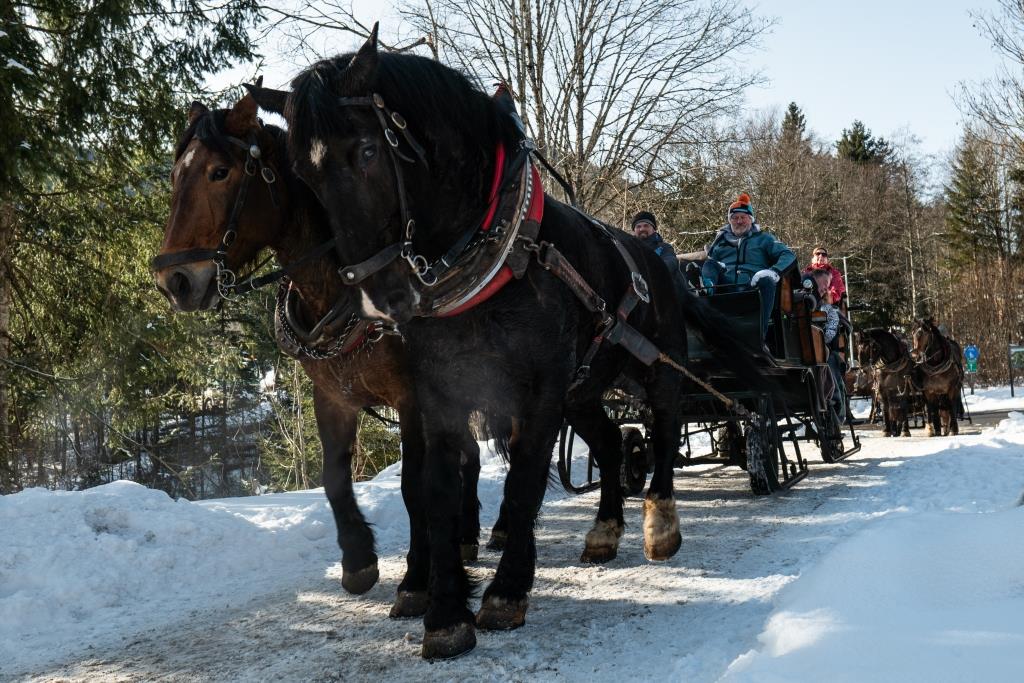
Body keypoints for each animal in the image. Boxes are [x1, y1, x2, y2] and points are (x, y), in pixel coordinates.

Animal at [151, 94, 487, 602]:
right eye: (175, 175)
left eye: (219, 172)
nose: (174, 280)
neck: (342, 291)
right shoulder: (331, 396)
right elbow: (333, 480)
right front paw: (358, 559)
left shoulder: (410, 398)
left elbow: (413, 483)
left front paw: (416, 576)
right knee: (466, 451)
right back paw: (464, 535)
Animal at [249, 28, 774, 663]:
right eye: (303, 176)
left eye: (368, 152)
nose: (376, 299)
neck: (498, 258)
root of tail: (665, 263)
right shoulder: (442, 389)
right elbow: (438, 489)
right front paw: (445, 612)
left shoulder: (540, 388)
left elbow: (524, 479)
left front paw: (504, 592)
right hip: (587, 386)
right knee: (609, 442)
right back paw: (603, 530)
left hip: (656, 365)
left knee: (666, 427)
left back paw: (661, 523)